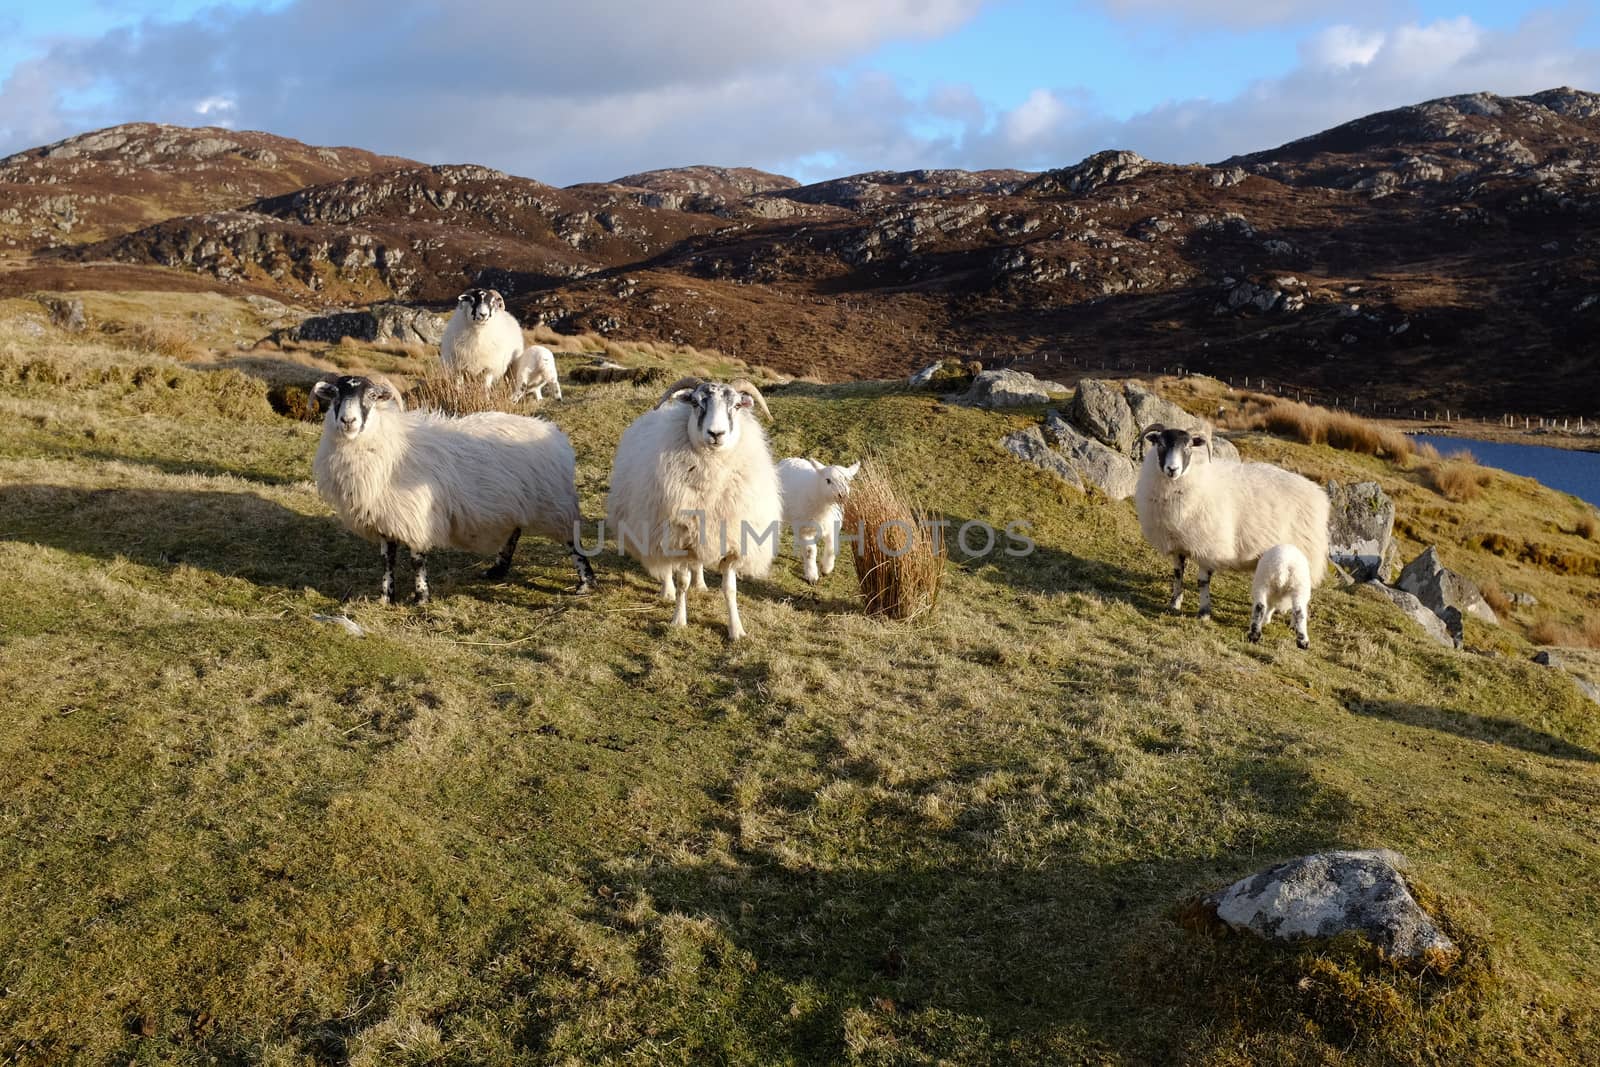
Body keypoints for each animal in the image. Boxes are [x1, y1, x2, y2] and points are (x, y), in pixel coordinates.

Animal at [307, 374, 595, 607]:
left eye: (372, 396)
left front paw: (421, 598)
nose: (348, 421)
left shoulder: (415, 517)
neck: (390, 445)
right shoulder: (387, 517)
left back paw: (585, 583)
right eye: (335, 395)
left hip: (554, 502)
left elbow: (417, 560)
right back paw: (497, 570)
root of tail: (553, 433)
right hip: (514, 501)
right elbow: (387, 560)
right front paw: (386, 597)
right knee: (514, 532)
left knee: (572, 539)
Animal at [604, 375, 780, 643]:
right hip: (659, 526)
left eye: (736, 406)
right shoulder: (680, 539)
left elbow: (730, 589)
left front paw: (736, 629)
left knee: (697, 565)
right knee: (666, 565)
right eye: (696, 403)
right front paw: (679, 620)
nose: (716, 433)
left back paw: (701, 584)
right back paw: (667, 591)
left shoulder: (731, 542)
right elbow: (682, 583)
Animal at [777, 457, 864, 585]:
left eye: (847, 481)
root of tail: (790, 459)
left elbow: (832, 548)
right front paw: (812, 576)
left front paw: (826, 568)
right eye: (828, 480)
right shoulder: (806, 529)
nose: (842, 495)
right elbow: (810, 551)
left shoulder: (833, 527)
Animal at [1132, 425, 1331, 620]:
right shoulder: (1177, 543)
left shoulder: (1208, 546)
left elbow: (1202, 581)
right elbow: (1178, 574)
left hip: (1302, 557)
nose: (1172, 469)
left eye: (1188, 447)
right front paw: (1174, 603)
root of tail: (1317, 492)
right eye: (1161, 444)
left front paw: (1204, 612)